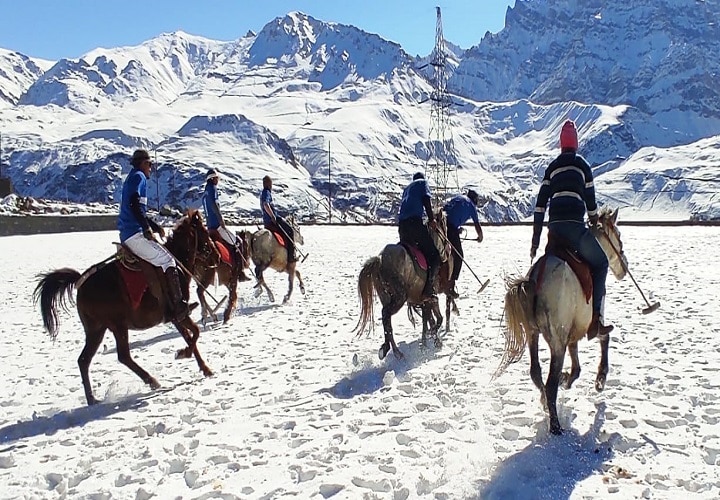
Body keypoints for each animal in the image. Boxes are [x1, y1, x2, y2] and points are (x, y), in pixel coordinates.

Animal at [33, 211, 218, 406]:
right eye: (204, 232)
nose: (216, 256)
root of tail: (80, 283)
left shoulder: (175, 317)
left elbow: (191, 335)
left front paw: (203, 367)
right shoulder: (178, 313)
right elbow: (194, 333)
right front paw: (185, 354)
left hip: (96, 329)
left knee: (84, 360)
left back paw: (92, 399)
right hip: (117, 325)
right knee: (123, 356)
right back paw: (152, 381)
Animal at [352, 210, 448, 360]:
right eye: (444, 226)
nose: (447, 250)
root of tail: (380, 259)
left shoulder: (423, 300)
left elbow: (428, 320)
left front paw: (429, 342)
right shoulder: (430, 298)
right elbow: (436, 319)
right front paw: (433, 340)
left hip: (386, 297)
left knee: (387, 322)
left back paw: (390, 349)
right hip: (399, 297)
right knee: (386, 315)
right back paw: (394, 351)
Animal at [498, 207, 628, 434]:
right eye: (618, 235)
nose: (624, 267)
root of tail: (534, 281)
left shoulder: (572, 331)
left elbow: (575, 364)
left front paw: (566, 379)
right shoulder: (594, 319)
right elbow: (604, 337)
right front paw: (600, 379)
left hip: (533, 334)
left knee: (536, 373)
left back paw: (546, 403)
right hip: (556, 342)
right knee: (549, 384)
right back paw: (556, 425)